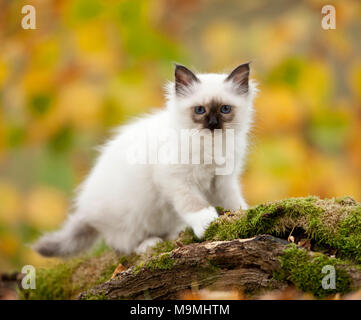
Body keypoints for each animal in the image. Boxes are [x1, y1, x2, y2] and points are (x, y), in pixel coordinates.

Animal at [33, 63, 256, 256]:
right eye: (200, 110)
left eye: (225, 109)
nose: (213, 124)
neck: (212, 145)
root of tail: (86, 210)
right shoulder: (175, 179)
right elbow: (192, 203)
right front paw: (205, 222)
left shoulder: (223, 180)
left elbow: (234, 202)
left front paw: (244, 215)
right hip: (132, 215)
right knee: (122, 244)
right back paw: (149, 244)